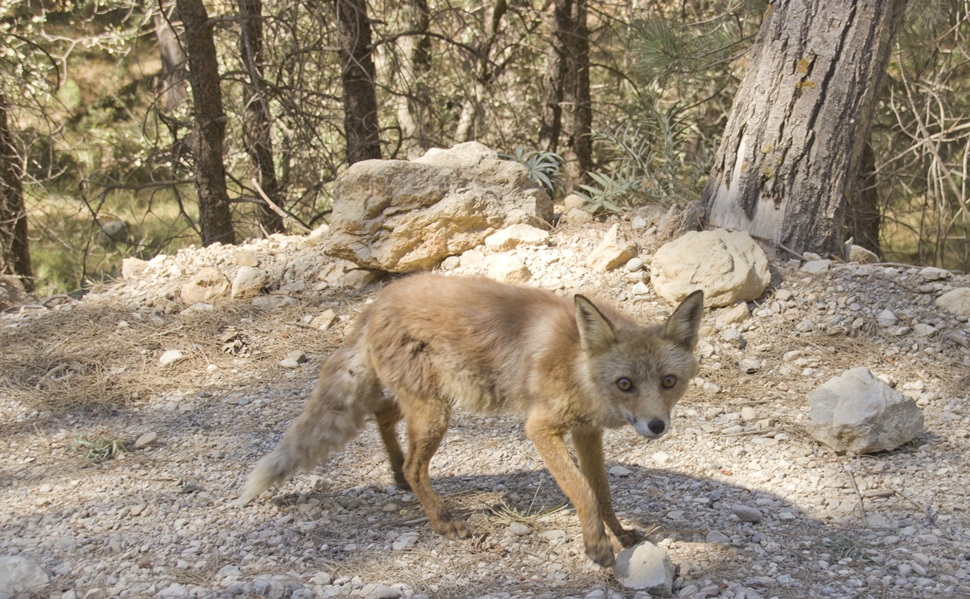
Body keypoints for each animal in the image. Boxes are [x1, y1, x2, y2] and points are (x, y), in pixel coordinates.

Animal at [237, 274, 700, 568]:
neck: (578, 363)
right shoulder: (541, 427)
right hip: (435, 413)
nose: (656, 426)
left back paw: (397, 476)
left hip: (424, 404)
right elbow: (582, 492)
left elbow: (602, 493)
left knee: (382, 416)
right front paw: (597, 548)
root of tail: (377, 301)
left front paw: (618, 534)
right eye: (625, 384)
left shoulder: (586, 431)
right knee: (414, 463)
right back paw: (441, 519)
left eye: (668, 381)